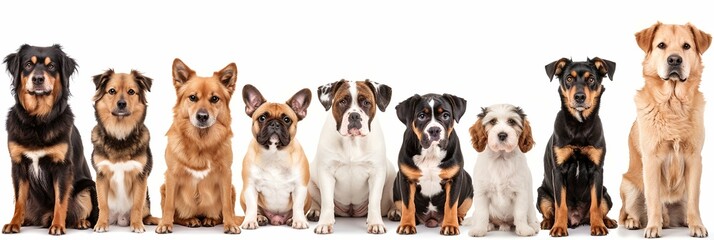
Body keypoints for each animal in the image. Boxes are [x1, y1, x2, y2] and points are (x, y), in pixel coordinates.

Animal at [2, 44, 96, 234]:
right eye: (28, 65)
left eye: (51, 66)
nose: (38, 79)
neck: (38, 121)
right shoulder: (18, 165)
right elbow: (19, 200)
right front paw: (14, 223)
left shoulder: (62, 167)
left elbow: (61, 200)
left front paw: (58, 225)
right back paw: (26, 220)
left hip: (88, 186)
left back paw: (80, 222)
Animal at [89, 69, 159, 232]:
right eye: (112, 91)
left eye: (131, 91)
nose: (121, 104)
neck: (119, 133)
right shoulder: (101, 175)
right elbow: (103, 205)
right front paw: (101, 224)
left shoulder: (140, 175)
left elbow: (137, 205)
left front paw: (137, 225)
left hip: (147, 200)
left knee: (146, 214)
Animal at [464, 104, 536, 237]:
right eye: (492, 121)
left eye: (512, 121)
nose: (502, 135)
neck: (501, 158)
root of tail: (504, 223)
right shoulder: (481, 193)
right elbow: (482, 213)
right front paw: (479, 229)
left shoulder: (521, 193)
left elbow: (520, 213)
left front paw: (524, 229)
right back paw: (488, 225)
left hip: (531, 206)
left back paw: (533, 226)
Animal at [536, 57, 616, 236]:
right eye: (569, 79)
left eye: (591, 79)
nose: (579, 97)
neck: (579, 127)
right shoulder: (559, 171)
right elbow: (560, 205)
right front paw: (559, 227)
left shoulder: (597, 170)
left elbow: (595, 205)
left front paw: (598, 226)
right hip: (541, 194)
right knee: (549, 211)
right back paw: (548, 223)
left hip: (606, 192)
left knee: (602, 207)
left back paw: (607, 221)